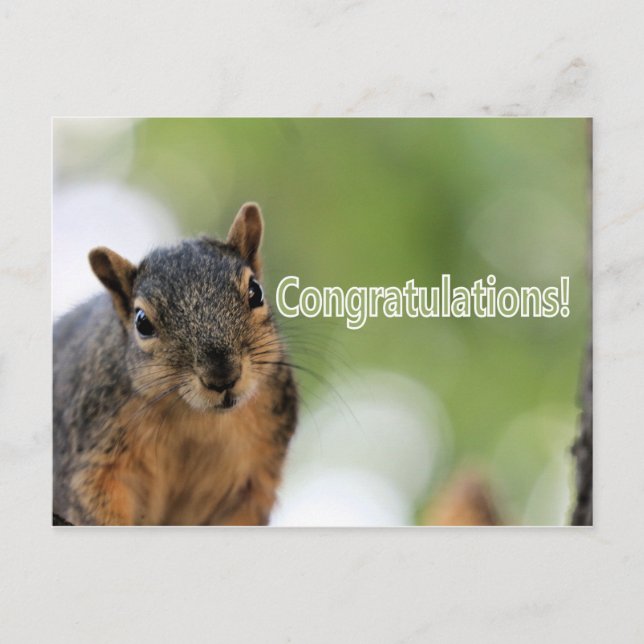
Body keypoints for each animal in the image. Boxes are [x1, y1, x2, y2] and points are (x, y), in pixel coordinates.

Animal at [53, 203, 298, 526]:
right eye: (142, 322)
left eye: (255, 291)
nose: (222, 376)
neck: (196, 417)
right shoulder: (92, 451)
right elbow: (96, 499)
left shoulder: (253, 479)